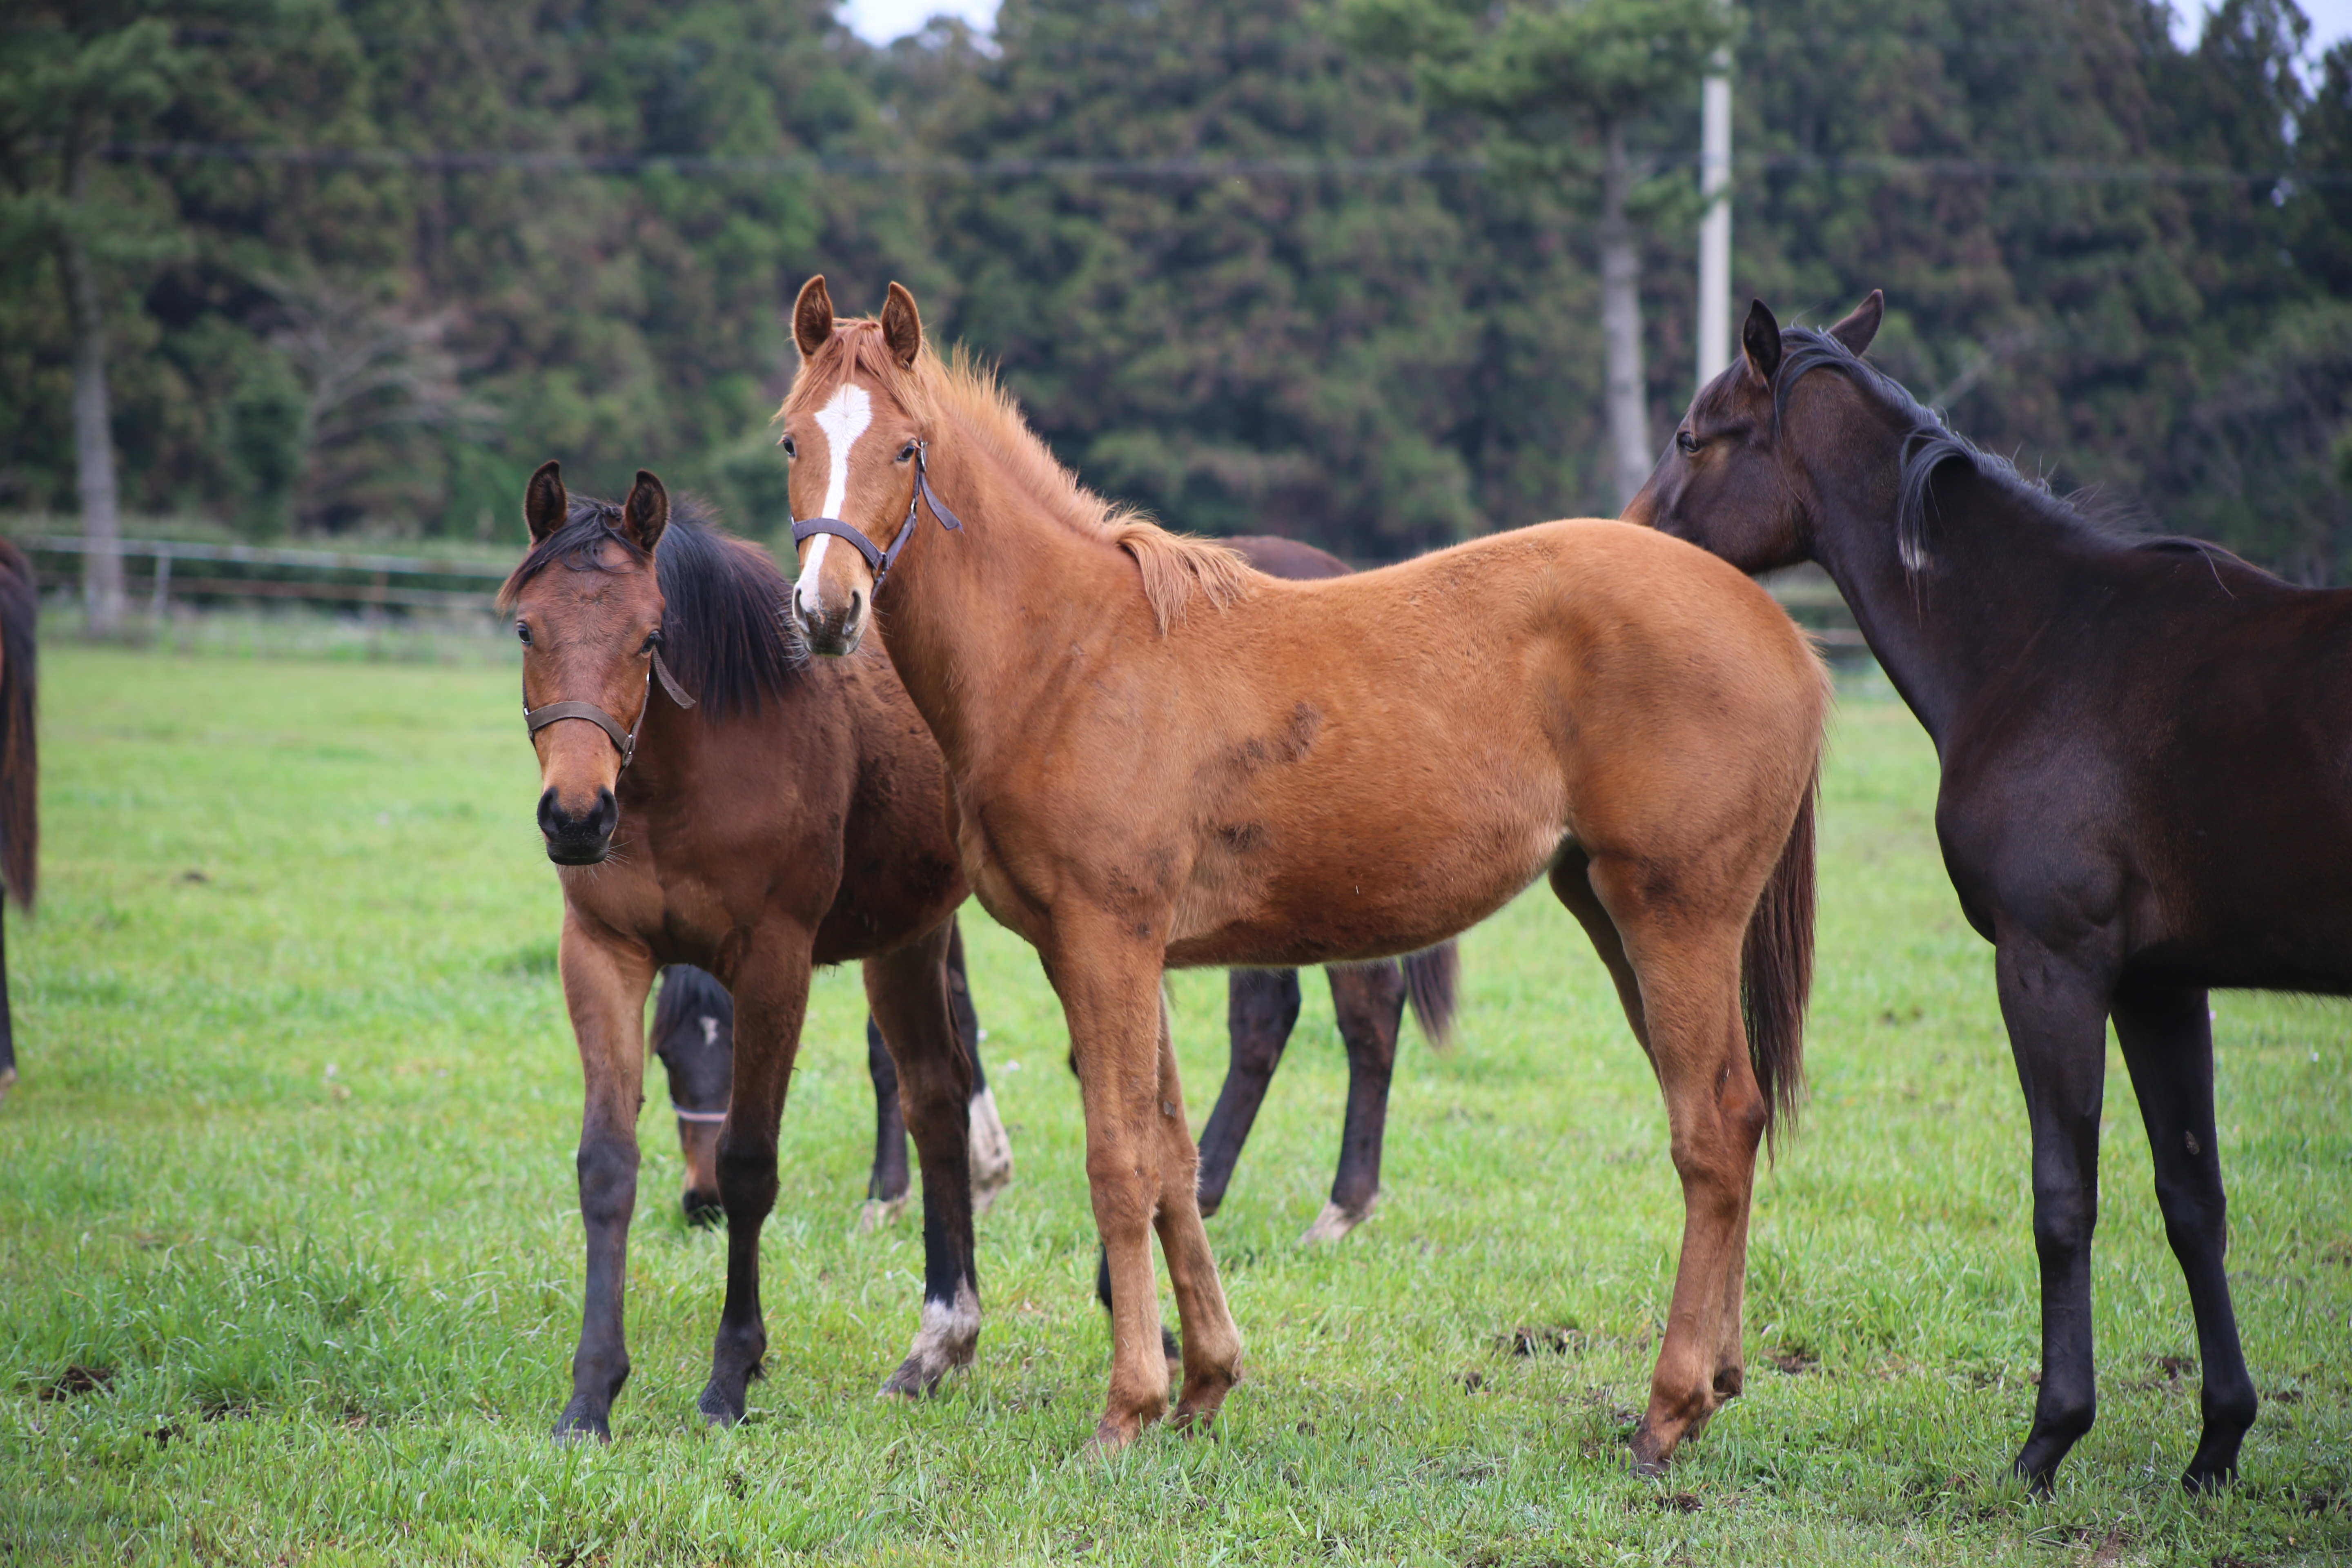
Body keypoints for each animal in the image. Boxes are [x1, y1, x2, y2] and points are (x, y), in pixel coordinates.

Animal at [510, 470, 988, 1448]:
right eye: (528, 630)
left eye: (651, 636)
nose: (575, 816)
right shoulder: (603, 956)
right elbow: (607, 1164)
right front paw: (591, 1395)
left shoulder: (775, 965)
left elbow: (747, 1165)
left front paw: (731, 1377)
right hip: (908, 937)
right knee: (935, 1093)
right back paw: (939, 1345)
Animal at [781, 272, 1825, 1476]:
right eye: (792, 439)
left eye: (907, 448)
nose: (825, 612)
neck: (1073, 655)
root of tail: (1781, 634)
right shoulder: (1109, 950)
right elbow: (1171, 1152)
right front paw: (1204, 1382)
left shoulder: (1106, 939)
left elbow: (1117, 1160)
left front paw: (1126, 1407)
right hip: (1615, 915)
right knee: (1734, 1112)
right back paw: (1718, 1379)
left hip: (1674, 916)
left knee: (1710, 1129)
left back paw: (1668, 1407)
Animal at [1627, 294, 2352, 1495]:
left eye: (1692, 438)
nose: (1624, 541)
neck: (2041, 644)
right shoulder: (2160, 985)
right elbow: (2191, 1199)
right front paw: (2217, 1440)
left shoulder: (2050, 964)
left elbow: (2064, 1200)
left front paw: (2049, 1436)